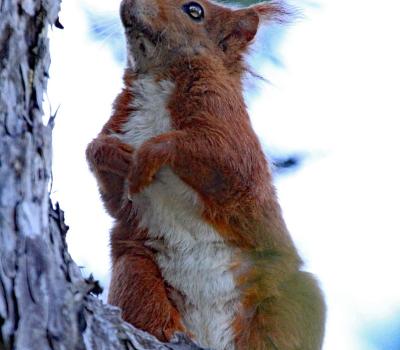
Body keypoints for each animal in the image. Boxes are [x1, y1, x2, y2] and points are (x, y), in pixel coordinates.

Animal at [86, 0, 326, 348]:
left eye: (194, 10)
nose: (127, 3)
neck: (159, 78)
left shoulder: (231, 131)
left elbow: (218, 157)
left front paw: (147, 155)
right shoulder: (121, 124)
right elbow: (108, 187)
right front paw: (110, 153)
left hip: (294, 301)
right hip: (136, 270)